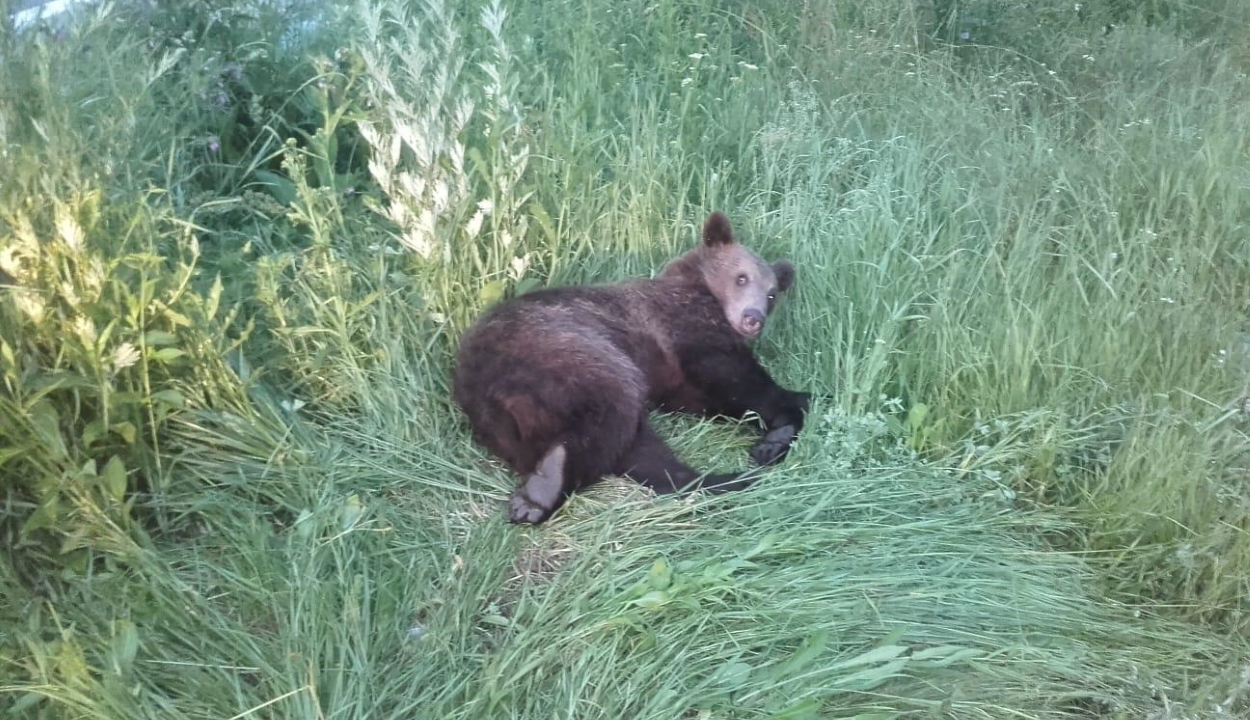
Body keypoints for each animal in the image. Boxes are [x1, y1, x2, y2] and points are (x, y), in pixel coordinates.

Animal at [450, 212, 810, 522]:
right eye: (741, 277)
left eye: (771, 294)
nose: (753, 317)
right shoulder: (686, 329)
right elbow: (738, 380)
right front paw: (784, 419)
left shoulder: (674, 378)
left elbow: (712, 396)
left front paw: (771, 441)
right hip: (575, 352)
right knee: (611, 415)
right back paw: (540, 492)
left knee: (632, 448)